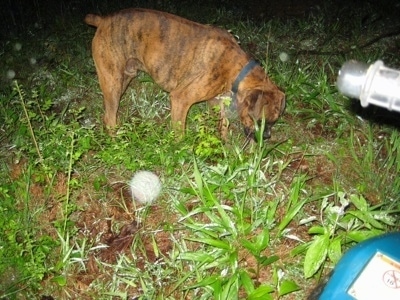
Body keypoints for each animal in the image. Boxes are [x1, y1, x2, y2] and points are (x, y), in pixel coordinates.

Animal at [84, 8, 284, 139]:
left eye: (273, 122)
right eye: (260, 121)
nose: (266, 137)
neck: (236, 68)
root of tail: (103, 20)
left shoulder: (216, 102)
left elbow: (223, 125)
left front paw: (224, 146)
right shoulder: (181, 99)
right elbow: (180, 133)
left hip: (124, 78)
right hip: (113, 82)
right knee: (110, 116)